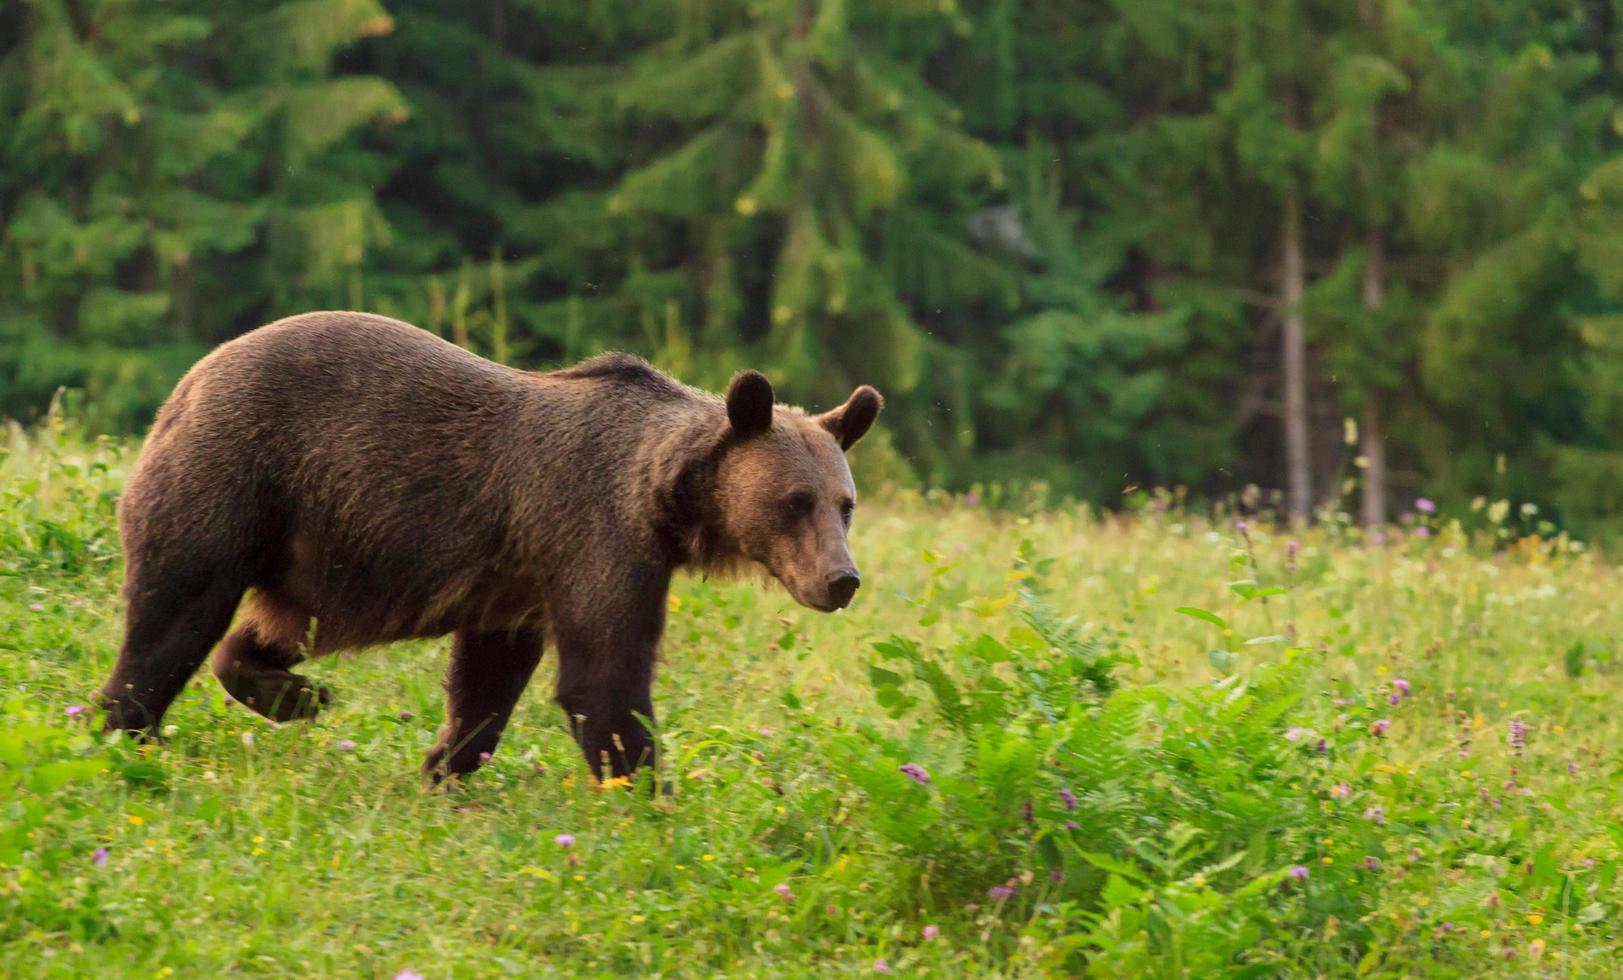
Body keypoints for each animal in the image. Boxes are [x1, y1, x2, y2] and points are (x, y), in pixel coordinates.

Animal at [94, 309, 882, 785]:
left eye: (844, 504)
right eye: (794, 502)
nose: (841, 579)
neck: (664, 496)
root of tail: (191, 379)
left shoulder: (518, 579)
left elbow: (489, 677)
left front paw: (445, 763)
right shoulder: (594, 533)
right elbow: (605, 678)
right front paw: (646, 789)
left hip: (308, 549)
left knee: (268, 627)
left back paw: (295, 693)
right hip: (239, 478)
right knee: (175, 614)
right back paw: (125, 729)